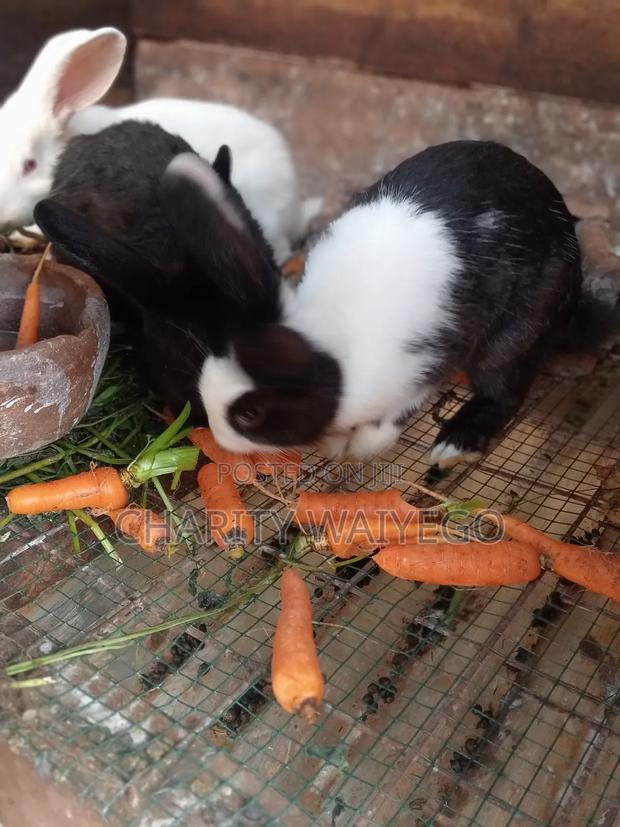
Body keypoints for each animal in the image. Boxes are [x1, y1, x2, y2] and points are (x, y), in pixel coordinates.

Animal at [186, 140, 616, 465]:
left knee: (503, 391)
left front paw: (360, 447)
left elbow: (393, 417)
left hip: (518, 332)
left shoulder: (419, 368)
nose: (219, 437)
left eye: (250, 413)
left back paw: (454, 443)